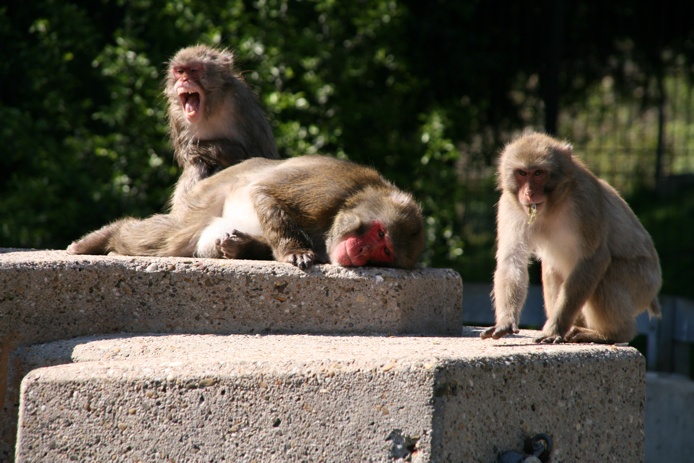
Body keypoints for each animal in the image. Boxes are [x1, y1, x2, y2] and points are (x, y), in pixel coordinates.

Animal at [66, 157, 424, 272]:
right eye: (379, 233)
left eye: (384, 251)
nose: (362, 252)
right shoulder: (328, 188)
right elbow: (264, 192)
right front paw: (294, 251)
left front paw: (238, 247)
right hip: (205, 198)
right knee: (167, 238)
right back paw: (102, 237)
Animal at [164, 44, 278, 207]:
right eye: (180, 71)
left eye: (194, 70)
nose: (184, 79)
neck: (210, 109)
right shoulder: (176, 115)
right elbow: (188, 156)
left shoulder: (242, 102)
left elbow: (260, 156)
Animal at [482, 132, 668, 342]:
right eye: (522, 173)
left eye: (538, 173)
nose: (529, 193)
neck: (552, 206)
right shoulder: (509, 205)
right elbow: (512, 260)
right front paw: (505, 321)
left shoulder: (585, 200)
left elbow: (594, 257)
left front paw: (555, 329)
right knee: (551, 268)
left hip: (643, 281)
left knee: (605, 277)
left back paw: (610, 334)